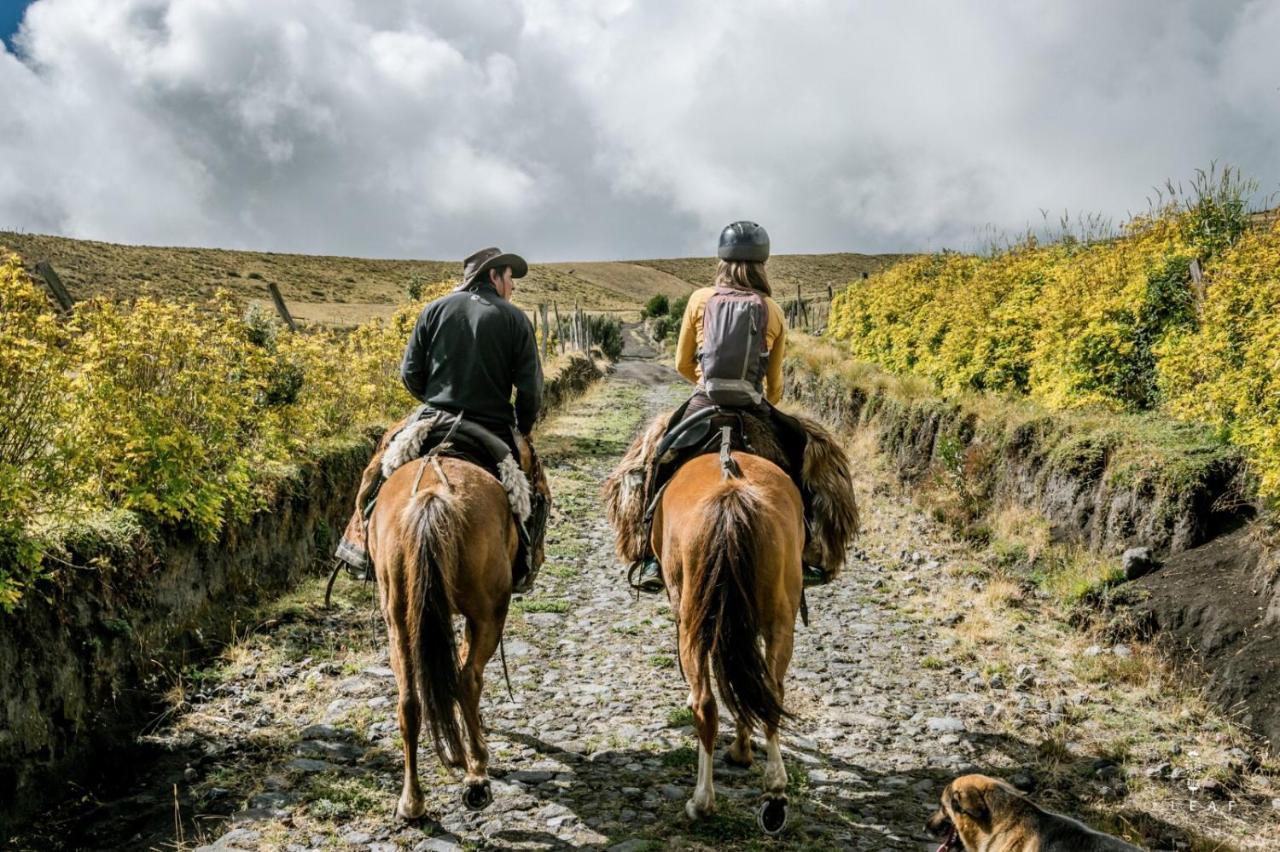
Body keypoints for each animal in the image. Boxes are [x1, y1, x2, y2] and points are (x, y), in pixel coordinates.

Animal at [366, 457, 514, 818]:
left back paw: (412, 800)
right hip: (489, 613)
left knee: (409, 701)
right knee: (467, 679)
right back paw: (476, 772)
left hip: (400, 619)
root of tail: (432, 496)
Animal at [655, 447, 803, 834]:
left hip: (692, 624)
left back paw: (701, 802)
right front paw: (742, 749)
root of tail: (730, 495)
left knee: (706, 704)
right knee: (771, 693)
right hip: (779, 620)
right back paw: (775, 792)